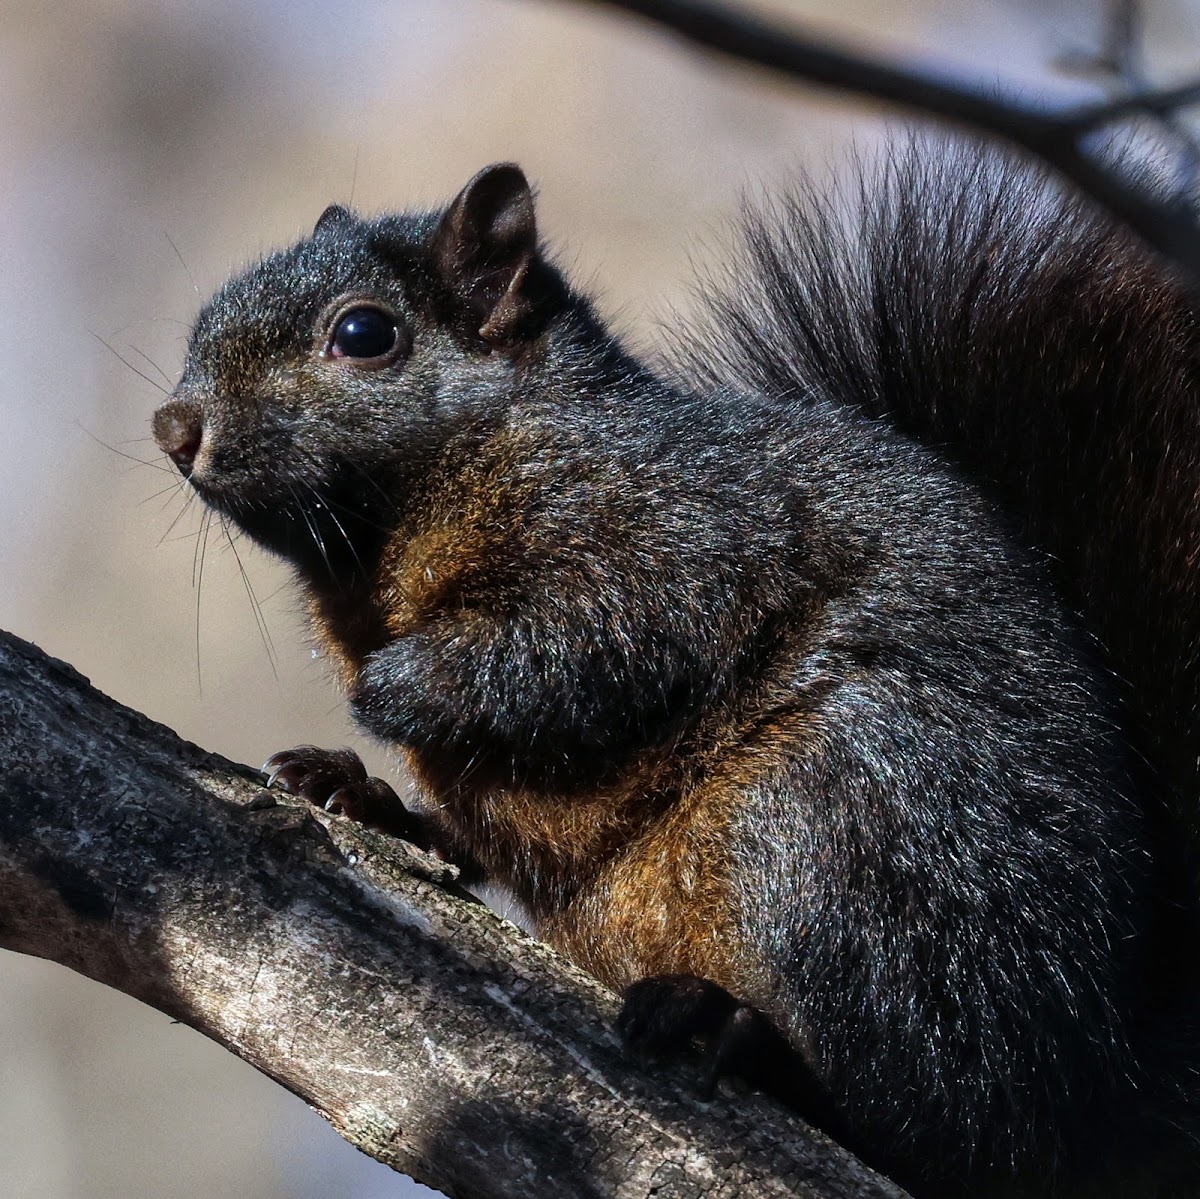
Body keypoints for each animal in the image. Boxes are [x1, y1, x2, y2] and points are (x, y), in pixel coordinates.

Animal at [150, 147, 1200, 1199]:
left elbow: (572, 655)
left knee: (918, 1108)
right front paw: (358, 780)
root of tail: (1091, 1098)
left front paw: (390, 690)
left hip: (832, 816)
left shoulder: (672, 544)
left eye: (363, 333)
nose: (173, 426)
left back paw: (732, 1027)